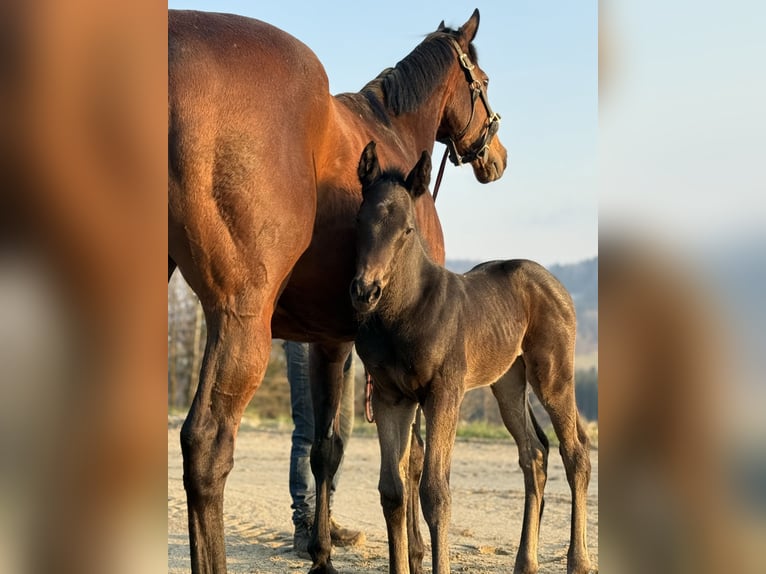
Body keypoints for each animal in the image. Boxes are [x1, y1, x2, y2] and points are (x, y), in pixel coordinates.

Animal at [168, 9, 507, 574]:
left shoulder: (329, 342)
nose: (496, 157)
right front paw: (415, 549)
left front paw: (322, 555)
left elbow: (325, 450)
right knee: (206, 445)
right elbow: (412, 459)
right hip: (239, 321)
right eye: (481, 80)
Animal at [350, 141, 592, 574]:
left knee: (575, 453)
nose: (365, 291)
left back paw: (578, 561)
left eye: (407, 229)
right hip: (508, 381)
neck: (404, 313)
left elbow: (435, 492)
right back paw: (525, 562)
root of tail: (553, 282)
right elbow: (392, 491)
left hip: (553, 374)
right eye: (360, 219)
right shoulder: (390, 398)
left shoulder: (444, 394)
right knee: (533, 454)